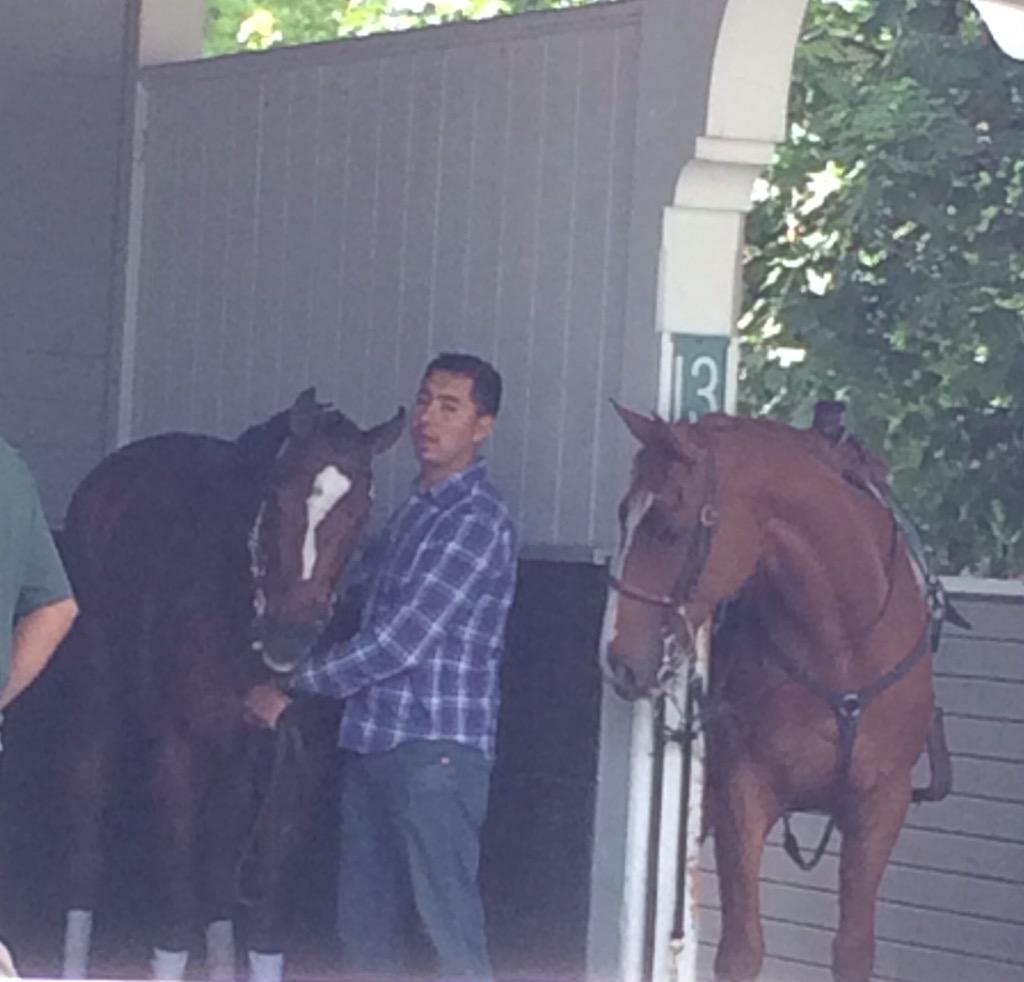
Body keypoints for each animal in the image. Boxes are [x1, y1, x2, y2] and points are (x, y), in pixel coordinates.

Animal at [57, 389, 404, 982]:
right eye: (278, 495)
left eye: (360, 512)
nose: (290, 636)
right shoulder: (177, 751)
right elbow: (175, 922)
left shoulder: (297, 763)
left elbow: (263, 923)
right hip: (96, 704)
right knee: (85, 829)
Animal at [601, 405, 936, 982]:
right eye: (624, 514)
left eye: (668, 528)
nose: (617, 657)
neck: (843, 647)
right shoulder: (743, 791)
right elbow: (741, 951)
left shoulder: (882, 802)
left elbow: (853, 949)